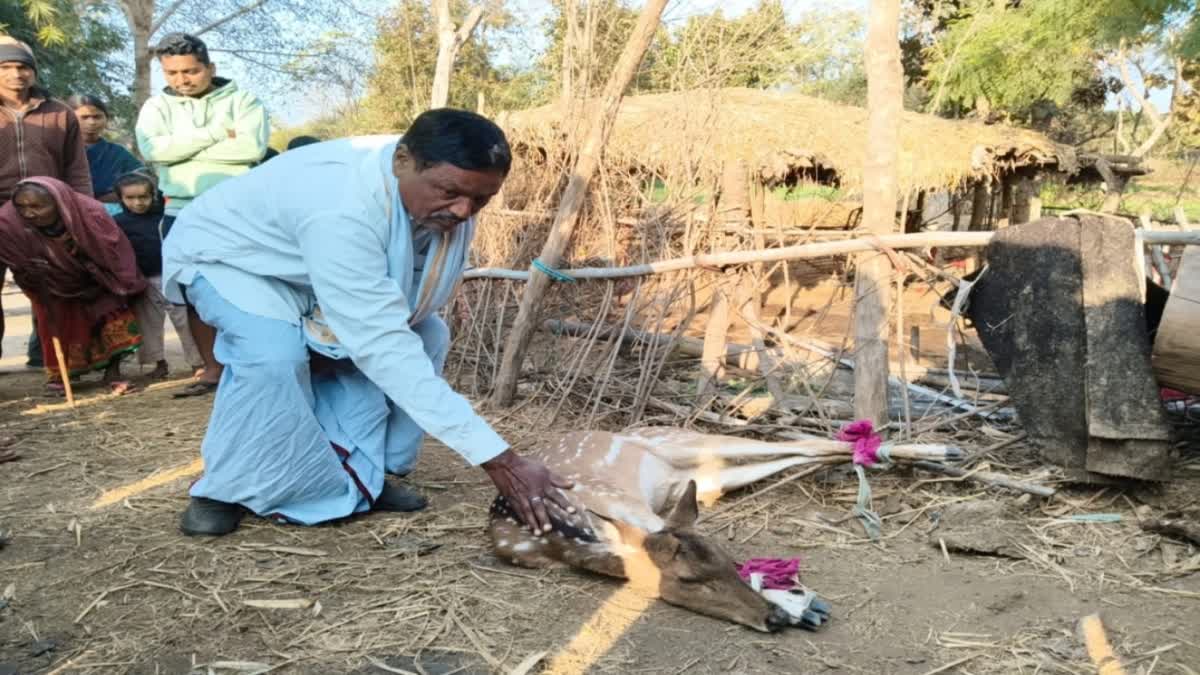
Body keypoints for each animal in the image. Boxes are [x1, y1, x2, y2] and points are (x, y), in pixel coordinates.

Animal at [487, 426, 961, 632]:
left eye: (727, 558)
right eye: (688, 579)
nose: (773, 619)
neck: (556, 539)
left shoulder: (634, 508)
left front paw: (801, 604)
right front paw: (801, 607)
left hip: (684, 444)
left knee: (801, 442)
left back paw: (944, 451)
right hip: (706, 474)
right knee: (798, 452)